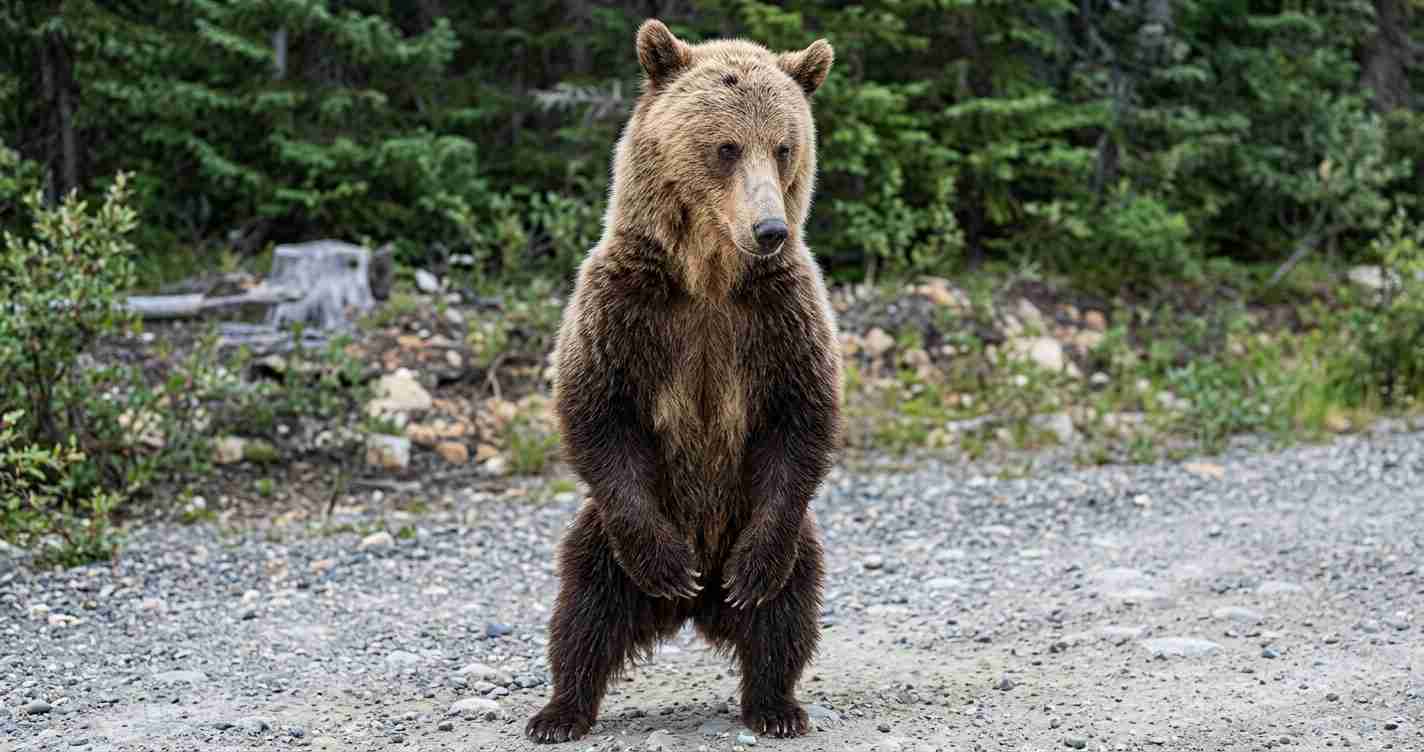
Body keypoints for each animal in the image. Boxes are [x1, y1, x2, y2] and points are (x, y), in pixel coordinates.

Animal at [524, 18, 842, 744]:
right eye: (727, 147)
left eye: (784, 146)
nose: (770, 228)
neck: (709, 275)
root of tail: (696, 609)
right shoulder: (625, 305)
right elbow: (596, 410)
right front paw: (665, 565)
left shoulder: (782, 315)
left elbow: (802, 415)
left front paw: (754, 577)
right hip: (605, 539)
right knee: (582, 611)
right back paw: (561, 710)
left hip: (776, 528)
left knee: (787, 610)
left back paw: (775, 703)